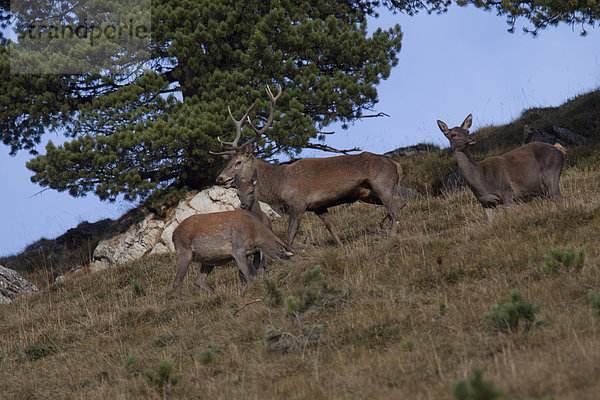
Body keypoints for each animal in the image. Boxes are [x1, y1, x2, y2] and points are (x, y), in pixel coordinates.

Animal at [213, 85, 406, 247]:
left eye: (238, 162)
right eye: (228, 161)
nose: (220, 178)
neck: (278, 185)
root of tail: (396, 165)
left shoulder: (298, 203)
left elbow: (290, 234)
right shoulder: (318, 206)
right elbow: (332, 229)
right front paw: (342, 247)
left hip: (381, 184)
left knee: (395, 209)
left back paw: (391, 235)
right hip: (367, 193)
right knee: (401, 203)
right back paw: (383, 226)